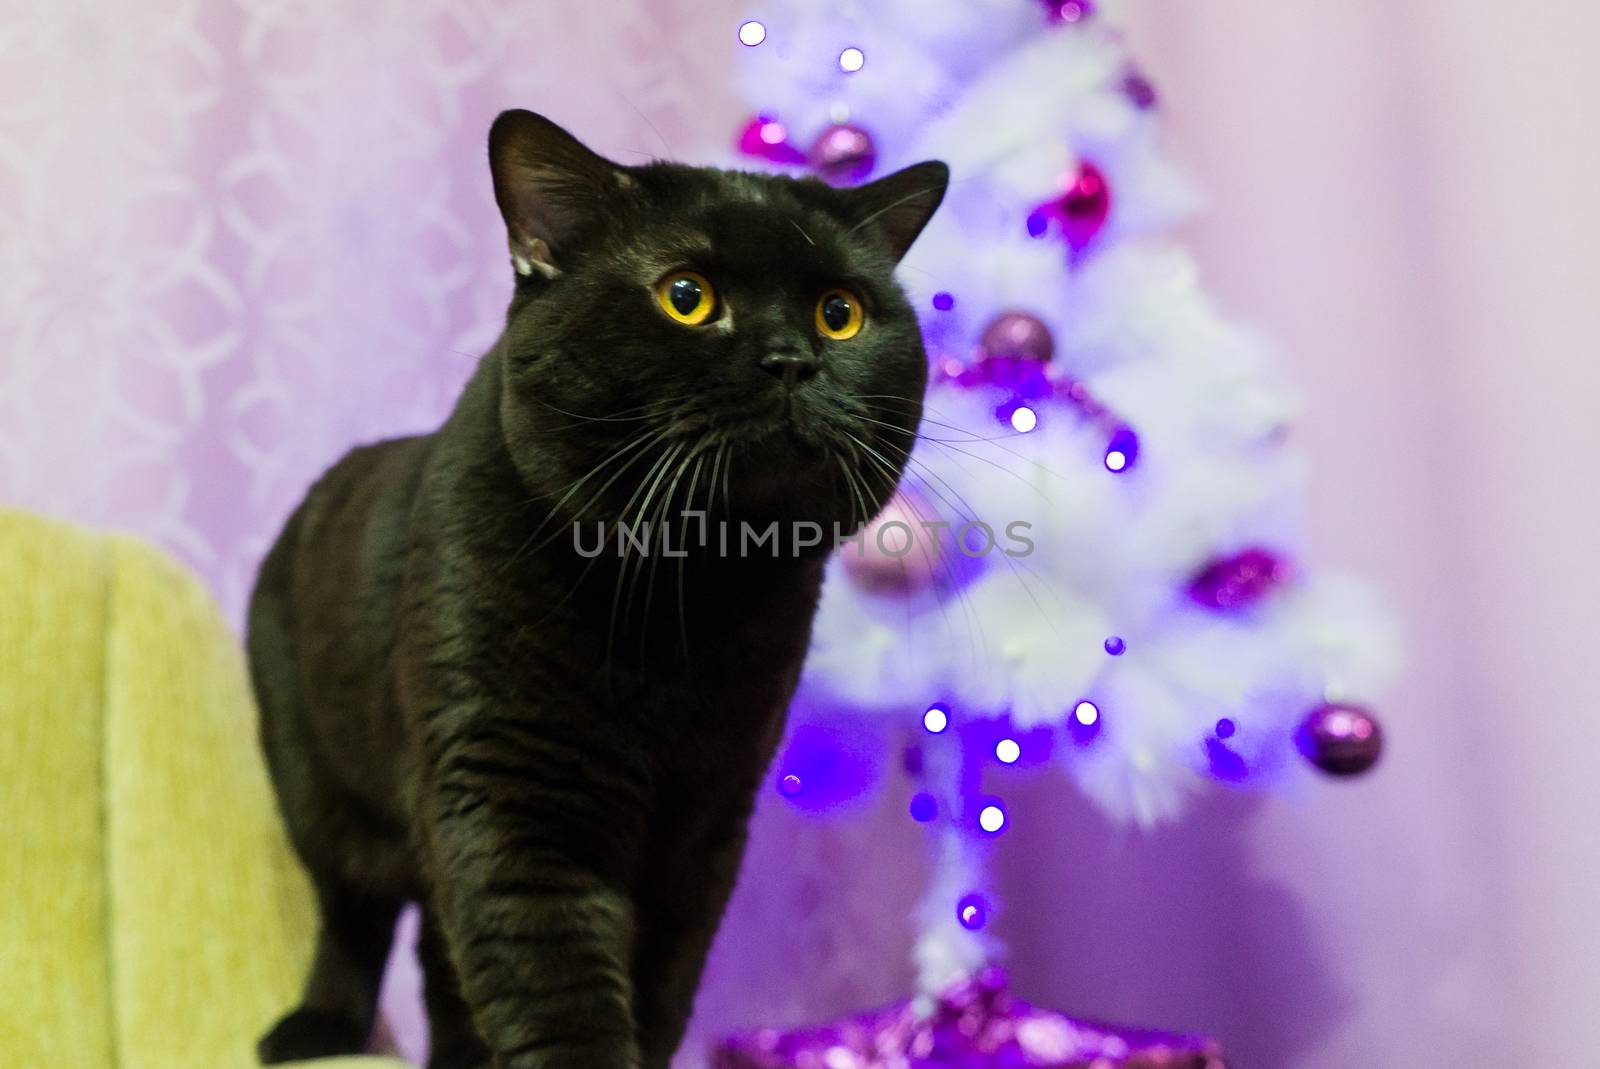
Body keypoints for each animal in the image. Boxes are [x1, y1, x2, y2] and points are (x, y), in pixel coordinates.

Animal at [251, 108, 940, 1069]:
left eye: (840, 314)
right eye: (686, 296)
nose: (790, 359)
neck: (685, 602)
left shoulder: (703, 828)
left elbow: (658, 994)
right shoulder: (510, 804)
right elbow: (556, 997)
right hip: (322, 792)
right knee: (355, 917)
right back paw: (315, 1028)